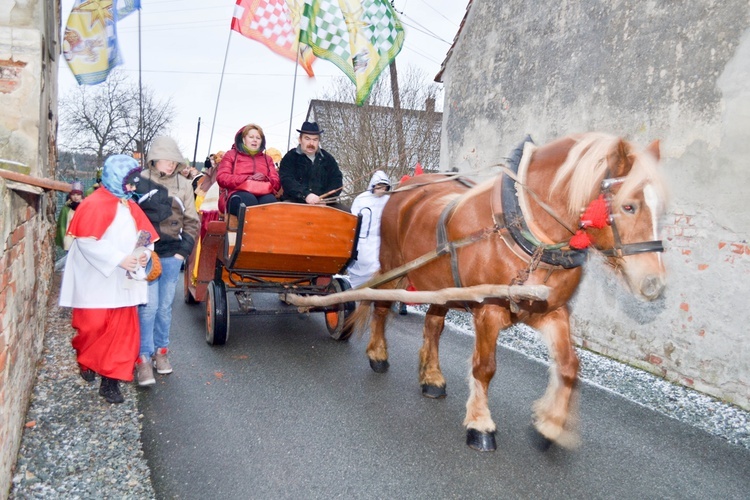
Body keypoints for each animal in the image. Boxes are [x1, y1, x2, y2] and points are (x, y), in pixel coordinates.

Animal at [358, 133, 668, 454]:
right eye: (629, 206)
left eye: (660, 209)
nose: (653, 283)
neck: (524, 231)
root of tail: (407, 185)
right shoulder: (488, 310)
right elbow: (485, 368)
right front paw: (480, 425)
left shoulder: (553, 311)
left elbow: (569, 366)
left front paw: (550, 424)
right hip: (393, 266)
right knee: (380, 307)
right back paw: (378, 355)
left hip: (441, 286)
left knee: (433, 325)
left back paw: (432, 379)